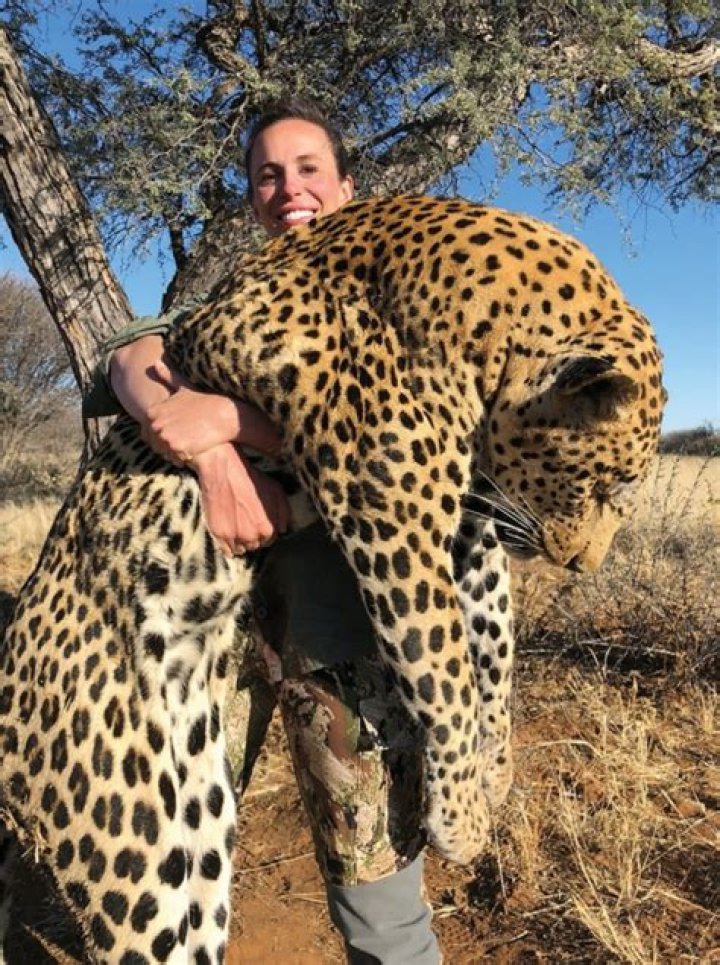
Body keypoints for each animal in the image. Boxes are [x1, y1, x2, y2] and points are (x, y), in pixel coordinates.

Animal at [0, 194, 665, 962]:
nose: (584, 565)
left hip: (197, 825)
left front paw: (494, 768)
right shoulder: (386, 504)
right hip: (128, 846)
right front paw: (462, 820)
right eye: (611, 486)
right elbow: (443, 668)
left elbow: (493, 641)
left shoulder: (469, 520)